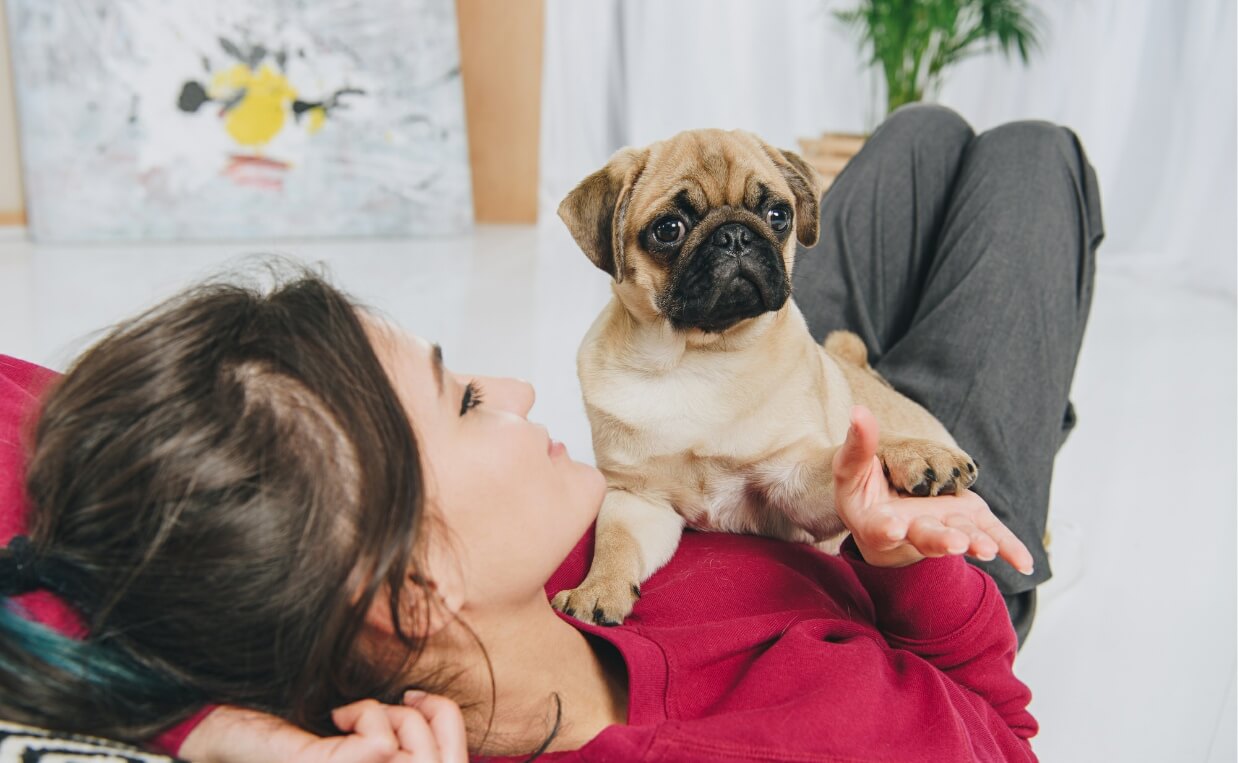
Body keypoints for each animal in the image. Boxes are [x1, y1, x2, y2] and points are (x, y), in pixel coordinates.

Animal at [554, 128, 975, 626]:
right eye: (668, 229)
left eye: (778, 215)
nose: (734, 235)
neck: (696, 357)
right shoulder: (638, 499)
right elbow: (615, 544)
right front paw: (597, 590)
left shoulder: (793, 486)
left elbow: (848, 457)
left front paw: (908, 454)